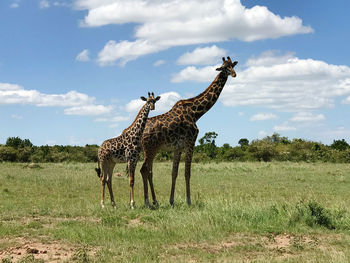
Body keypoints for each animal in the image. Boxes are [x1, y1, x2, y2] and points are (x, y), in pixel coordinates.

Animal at [141, 56, 237, 207]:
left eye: (232, 65)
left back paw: (152, 201)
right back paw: (148, 202)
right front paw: (189, 201)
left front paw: (172, 201)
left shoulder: (178, 147)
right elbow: (187, 173)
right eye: (224, 67)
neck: (195, 113)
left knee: (147, 170)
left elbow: (174, 173)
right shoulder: (190, 142)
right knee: (144, 169)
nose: (234, 74)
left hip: (151, 150)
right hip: (150, 149)